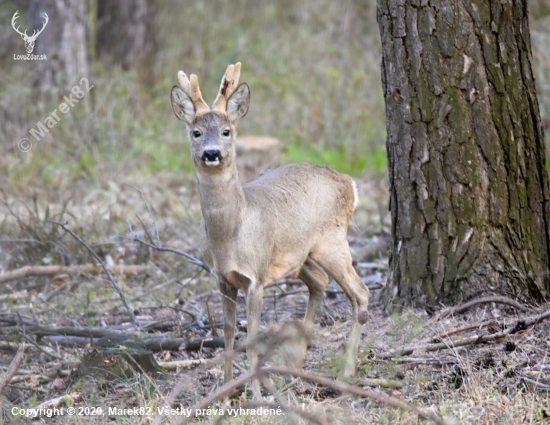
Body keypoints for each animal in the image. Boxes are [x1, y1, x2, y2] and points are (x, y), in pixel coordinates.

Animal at [172, 63, 370, 398]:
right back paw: (297, 362)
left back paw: (345, 373)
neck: (230, 237)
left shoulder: (256, 276)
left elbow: (251, 338)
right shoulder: (221, 278)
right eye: (196, 132)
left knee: (360, 293)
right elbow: (228, 334)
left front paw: (254, 394)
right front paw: (226, 393)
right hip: (300, 255)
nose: (211, 153)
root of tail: (349, 183)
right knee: (320, 282)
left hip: (332, 240)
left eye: (227, 131)